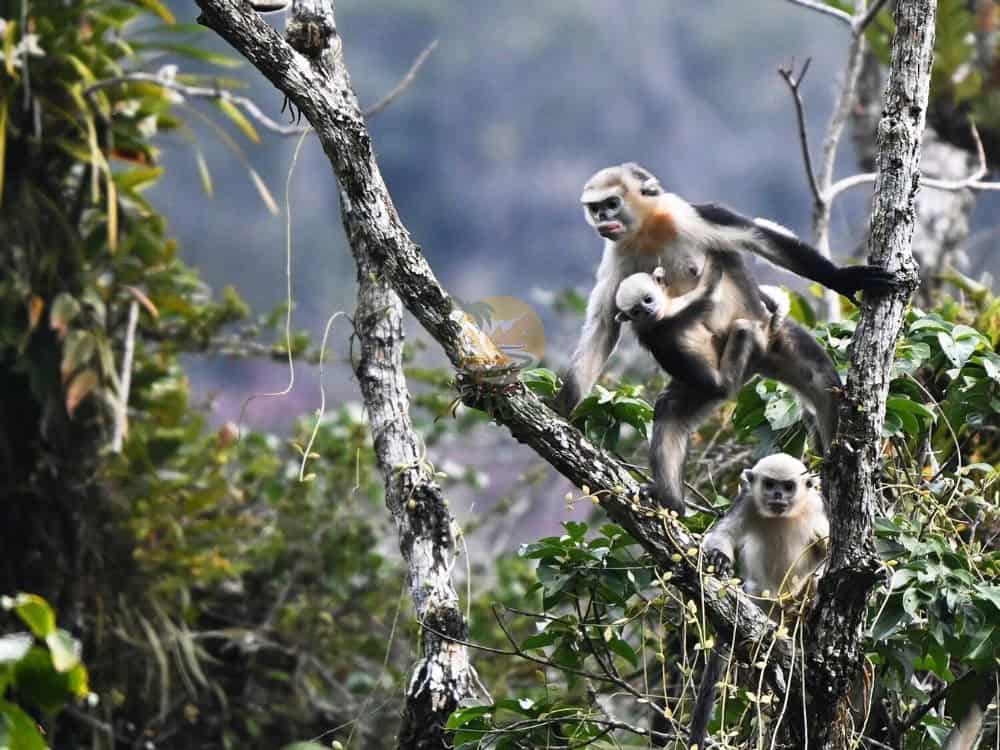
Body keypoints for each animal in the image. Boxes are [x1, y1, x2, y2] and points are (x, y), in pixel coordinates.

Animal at [555, 162, 898, 511]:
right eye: (594, 208)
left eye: (611, 203)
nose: (601, 218)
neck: (647, 231)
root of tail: (755, 363)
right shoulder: (617, 257)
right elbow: (603, 325)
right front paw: (563, 410)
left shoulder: (691, 214)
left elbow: (761, 238)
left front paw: (844, 279)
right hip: (711, 378)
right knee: (670, 410)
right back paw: (670, 502)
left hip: (771, 337)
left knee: (823, 382)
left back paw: (837, 468)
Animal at [688, 453, 829, 750]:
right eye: (770, 484)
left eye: (787, 487)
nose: (777, 495)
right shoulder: (746, 502)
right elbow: (724, 535)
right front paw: (720, 559)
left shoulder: (816, 507)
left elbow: (827, 545)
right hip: (763, 597)